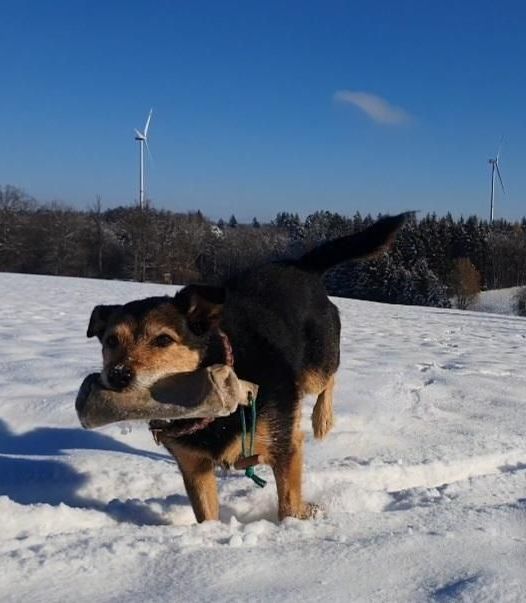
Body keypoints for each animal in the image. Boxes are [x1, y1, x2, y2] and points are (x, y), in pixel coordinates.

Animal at [87, 213, 407, 522]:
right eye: (111, 341)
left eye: (163, 339)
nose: (117, 375)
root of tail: (300, 265)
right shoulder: (193, 466)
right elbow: (206, 515)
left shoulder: (285, 444)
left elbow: (288, 504)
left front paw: (296, 523)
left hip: (315, 367)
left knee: (328, 380)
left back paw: (322, 420)